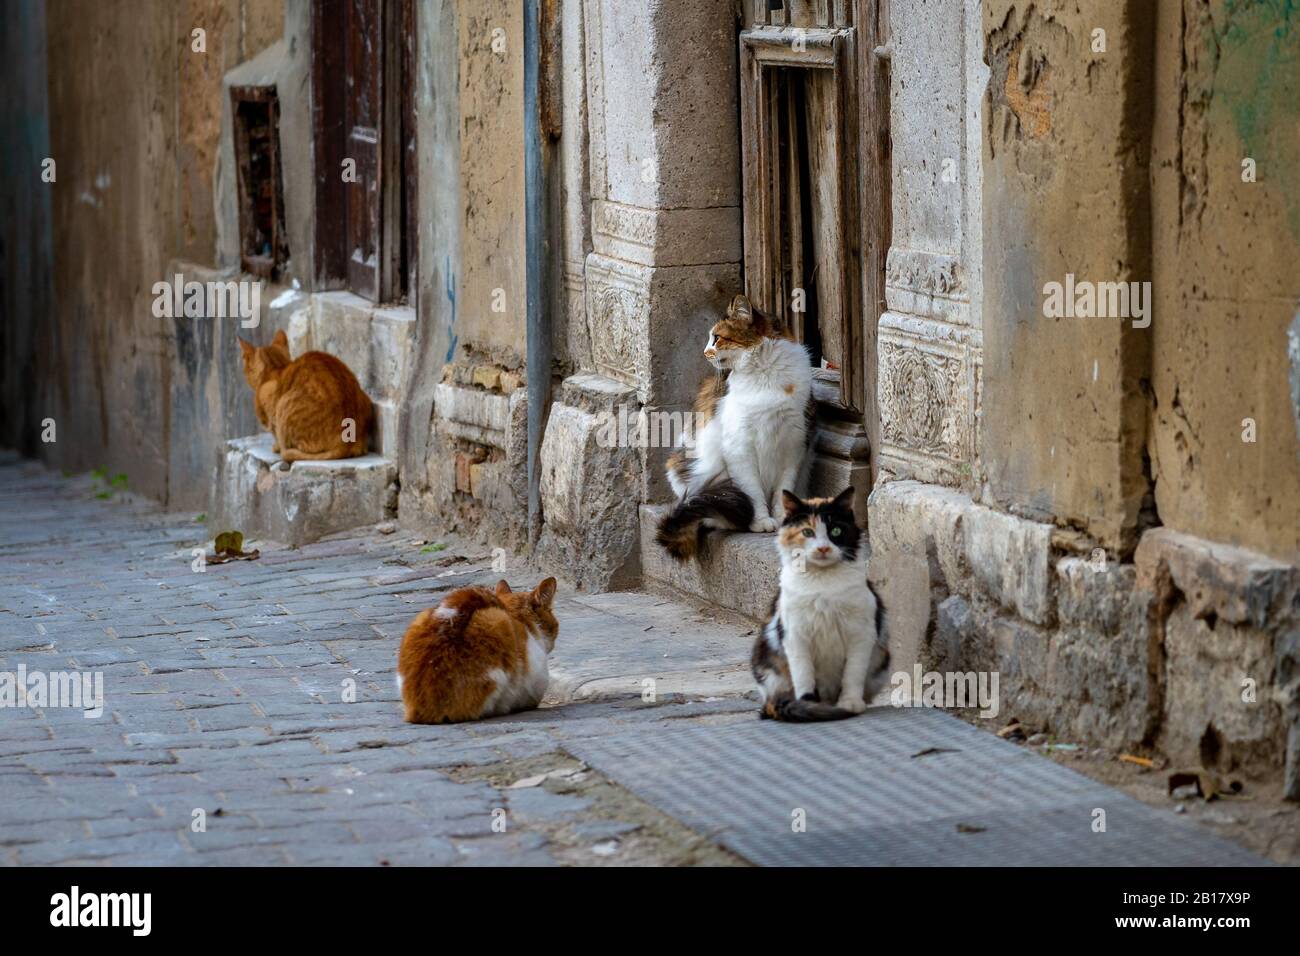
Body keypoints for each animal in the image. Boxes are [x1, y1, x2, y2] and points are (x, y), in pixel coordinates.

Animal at [239, 329, 374, 463]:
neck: (276, 368)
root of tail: (346, 444)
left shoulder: (272, 412)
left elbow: (276, 434)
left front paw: (276, 447)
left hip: (284, 406)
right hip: (365, 397)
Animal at [660, 293, 811, 561]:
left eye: (717, 338)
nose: (704, 352)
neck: (765, 372)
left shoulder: (793, 442)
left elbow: (783, 489)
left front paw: (784, 520)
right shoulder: (739, 446)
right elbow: (752, 489)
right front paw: (761, 521)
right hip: (688, 468)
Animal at [754, 489, 894, 723]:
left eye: (836, 530)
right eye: (807, 532)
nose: (823, 548)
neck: (822, 581)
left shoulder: (861, 633)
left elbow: (853, 674)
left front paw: (850, 703)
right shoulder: (795, 636)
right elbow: (804, 675)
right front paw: (808, 704)